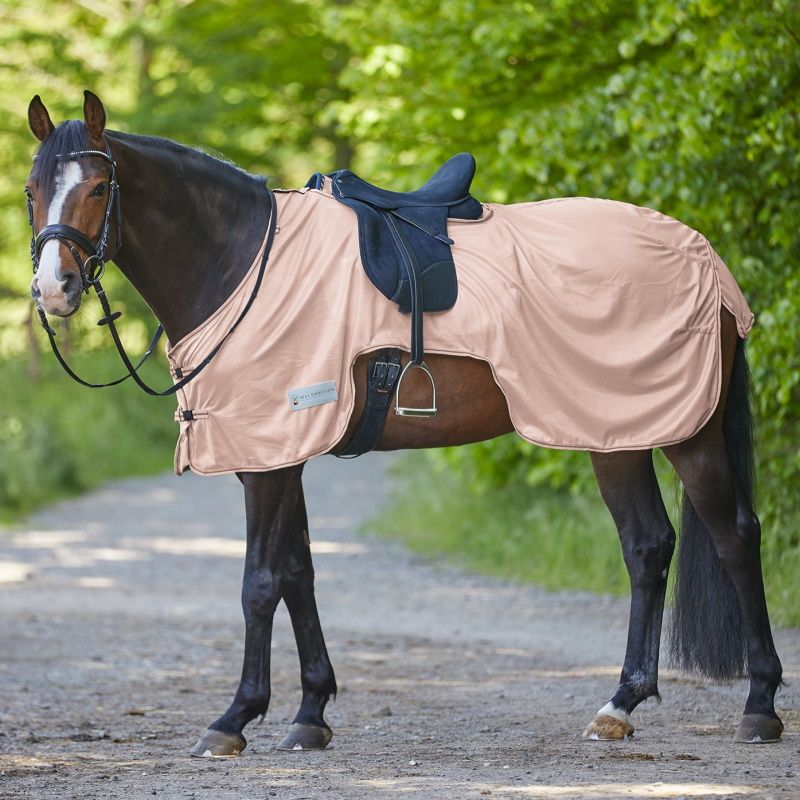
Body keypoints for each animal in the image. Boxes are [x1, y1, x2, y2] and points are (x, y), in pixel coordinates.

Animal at [23, 91, 784, 757]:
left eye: (99, 187)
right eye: (32, 189)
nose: (54, 290)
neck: (241, 263)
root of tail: (706, 258)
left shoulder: (271, 456)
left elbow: (260, 582)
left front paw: (235, 718)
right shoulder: (280, 454)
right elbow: (298, 572)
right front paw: (310, 714)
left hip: (686, 432)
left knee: (734, 535)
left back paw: (759, 707)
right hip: (614, 431)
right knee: (648, 547)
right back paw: (620, 706)